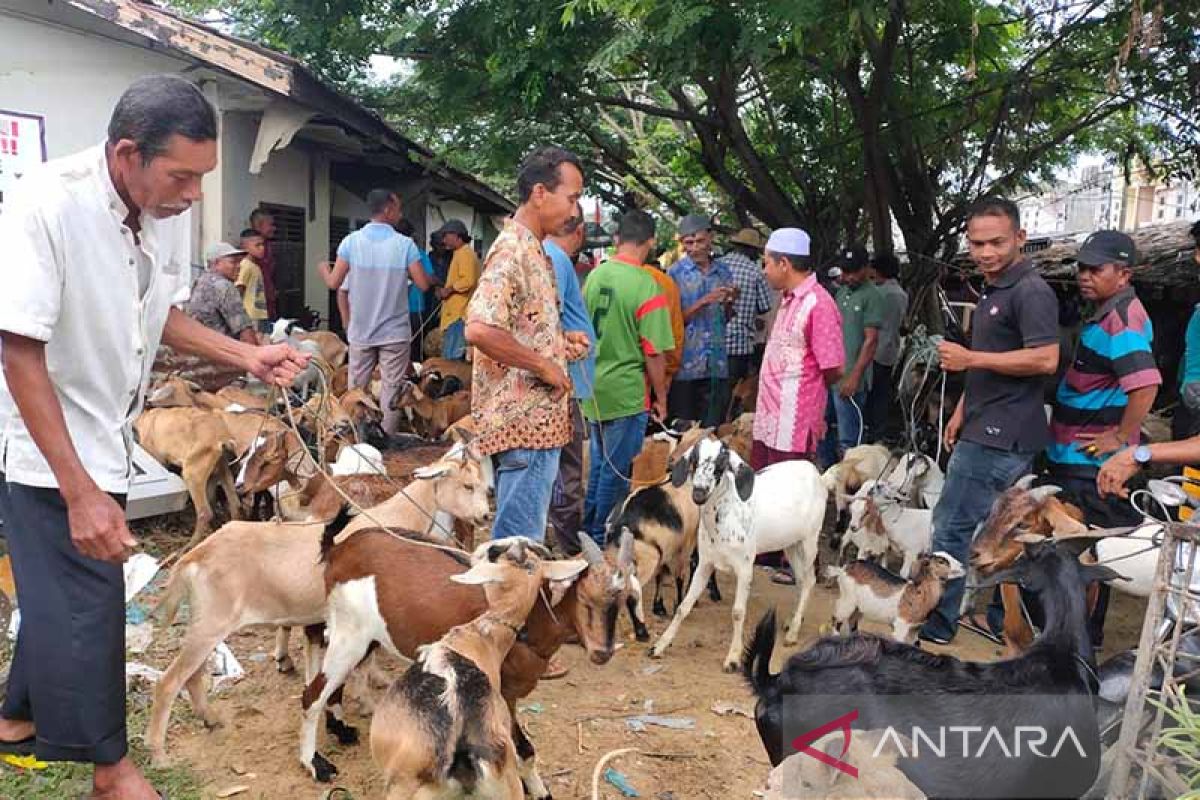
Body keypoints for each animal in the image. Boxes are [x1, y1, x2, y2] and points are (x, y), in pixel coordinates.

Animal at [652, 438, 830, 671]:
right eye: (695, 460)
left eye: (720, 464)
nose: (699, 493)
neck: (726, 514)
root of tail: (818, 475)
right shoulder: (705, 563)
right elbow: (683, 607)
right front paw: (660, 645)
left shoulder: (745, 567)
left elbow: (738, 612)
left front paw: (733, 658)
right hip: (790, 545)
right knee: (801, 580)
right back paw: (792, 622)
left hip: (809, 541)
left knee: (809, 580)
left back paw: (792, 633)